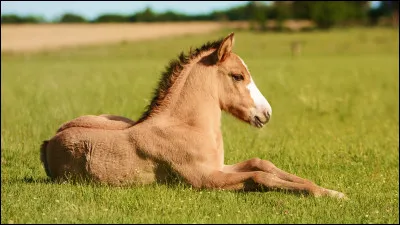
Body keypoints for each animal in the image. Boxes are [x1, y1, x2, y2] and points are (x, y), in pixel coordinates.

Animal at [41, 32, 346, 199]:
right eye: (238, 75)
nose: (266, 113)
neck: (186, 127)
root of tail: (49, 141)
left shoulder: (219, 167)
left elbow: (262, 164)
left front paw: (331, 191)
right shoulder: (205, 179)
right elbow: (261, 177)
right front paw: (327, 194)